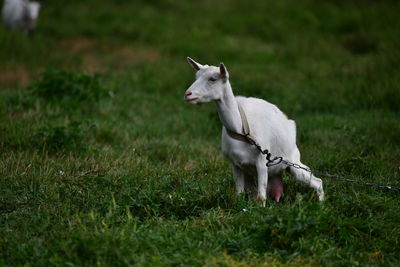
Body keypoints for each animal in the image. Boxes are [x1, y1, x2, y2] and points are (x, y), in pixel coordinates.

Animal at [184, 57, 324, 206]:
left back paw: (321, 204)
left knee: (317, 181)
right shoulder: (235, 164)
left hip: (292, 161)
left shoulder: (262, 161)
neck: (241, 129)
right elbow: (239, 194)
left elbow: (261, 197)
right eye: (196, 76)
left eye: (212, 79)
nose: (187, 94)